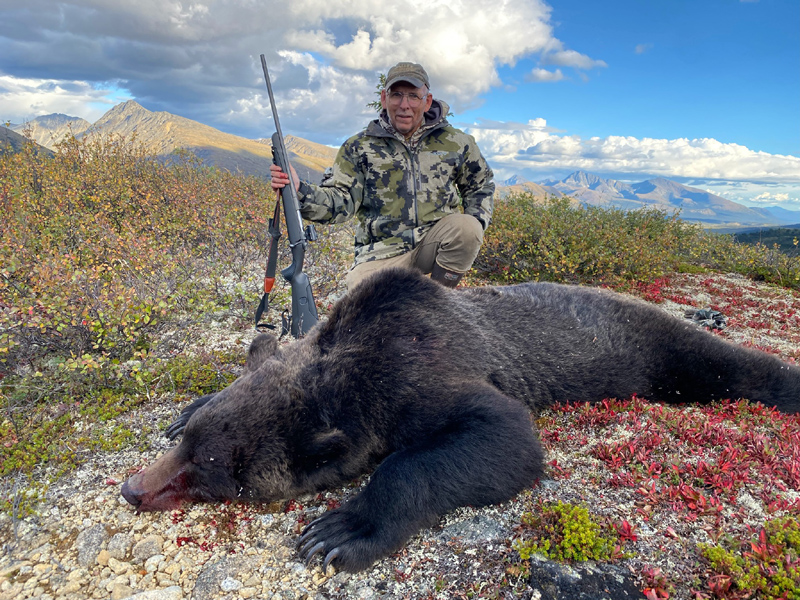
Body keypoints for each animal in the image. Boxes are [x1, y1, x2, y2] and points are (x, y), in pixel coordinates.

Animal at [121, 267, 800, 573]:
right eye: (190, 446)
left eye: (212, 470)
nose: (132, 489)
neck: (351, 359)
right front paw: (187, 406)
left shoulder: (426, 372)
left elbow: (503, 438)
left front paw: (343, 529)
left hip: (650, 345)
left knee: (726, 365)